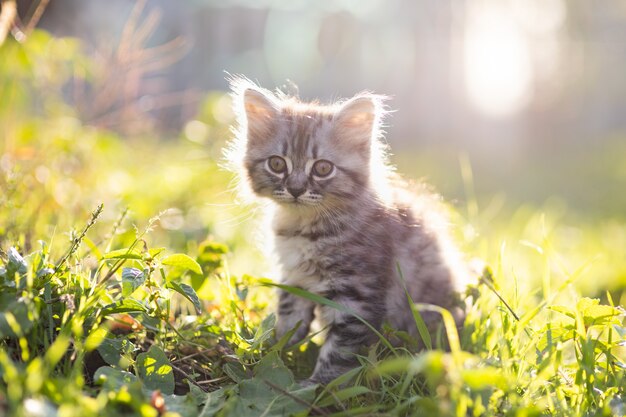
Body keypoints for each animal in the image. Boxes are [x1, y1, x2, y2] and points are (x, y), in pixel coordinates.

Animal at [228, 78, 468, 384]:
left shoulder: (356, 295)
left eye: (322, 168)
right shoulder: (294, 279)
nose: (295, 189)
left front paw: (318, 387)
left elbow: (340, 351)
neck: (303, 226)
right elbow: (289, 321)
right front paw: (274, 352)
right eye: (277, 164)